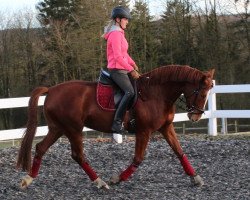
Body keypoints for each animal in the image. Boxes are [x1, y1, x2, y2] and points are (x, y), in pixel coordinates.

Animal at [16, 65, 214, 189]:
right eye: (201, 92)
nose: (195, 116)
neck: (156, 94)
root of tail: (51, 90)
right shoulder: (143, 131)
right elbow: (138, 159)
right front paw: (117, 179)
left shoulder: (166, 128)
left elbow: (179, 152)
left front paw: (196, 178)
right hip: (73, 129)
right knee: (78, 155)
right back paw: (100, 182)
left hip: (58, 128)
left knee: (41, 148)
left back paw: (28, 180)